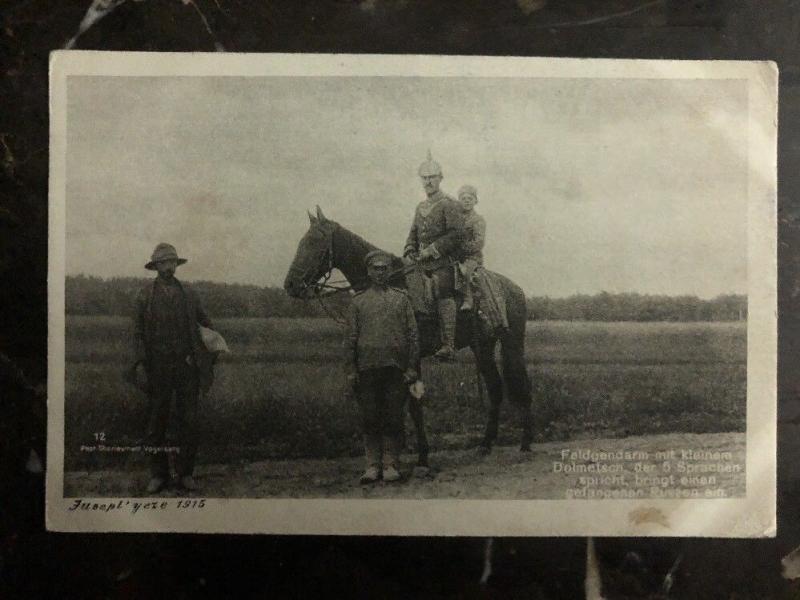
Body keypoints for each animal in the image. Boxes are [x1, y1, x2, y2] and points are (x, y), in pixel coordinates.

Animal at [282, 207, 532, 468]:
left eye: (315, 242)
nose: (291, 284)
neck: (392, 284)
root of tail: (516, 289)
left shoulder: (412, 356)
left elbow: (414, 404)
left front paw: (422, 456)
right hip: (482, 346)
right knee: (495, 388)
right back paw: (485, 444)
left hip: (512, 344)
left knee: (521, 384)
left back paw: (525, 444)